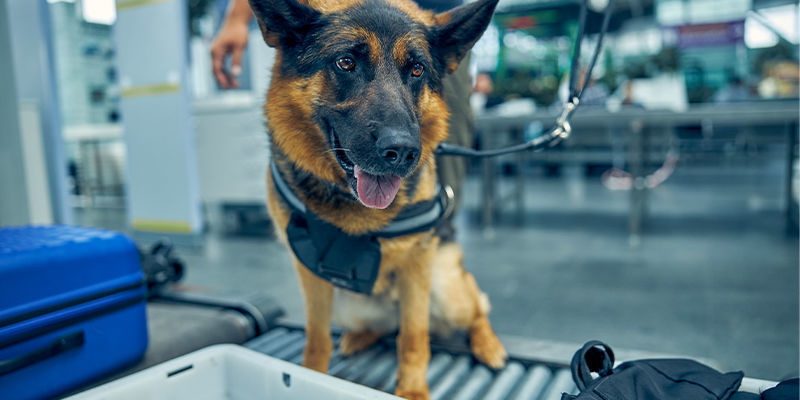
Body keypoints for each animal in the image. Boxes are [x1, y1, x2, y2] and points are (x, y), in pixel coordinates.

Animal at [252, 0, 506, 396]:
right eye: (345, 62)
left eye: (417, 69)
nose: (402, 152)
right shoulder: (310, 274)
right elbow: (316, 338)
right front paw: (312, 376)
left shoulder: (418, 266)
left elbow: (414, 337)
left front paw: (413, 391)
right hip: (348, 304)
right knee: (382, 327)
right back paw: (359, 337)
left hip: (447, 289)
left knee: (475, 310)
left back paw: (489, 345)